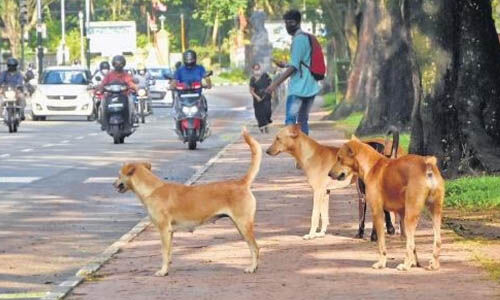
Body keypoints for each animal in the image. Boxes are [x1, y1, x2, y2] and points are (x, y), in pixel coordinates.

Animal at [113, 127, 262, 276]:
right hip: (240, 226)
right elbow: (169, 253)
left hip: (243, 224)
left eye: (119, 175)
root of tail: (241, 183)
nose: (114, 184)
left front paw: (162, 271)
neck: (153, 189)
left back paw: (252, 267)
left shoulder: (163, 230)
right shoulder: (170, 233)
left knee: (255, 247)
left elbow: (164, 253)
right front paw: (167, 269)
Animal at [330, 137, 444, 270]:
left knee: (410, 244)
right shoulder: (402, 214)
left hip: (411, 216)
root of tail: (427, 164)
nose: (329, 174)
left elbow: (382, 244)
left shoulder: (378, 212)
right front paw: (414, 263)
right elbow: (412, 245)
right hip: (435, 213)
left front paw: (382, 263)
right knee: (437, 241)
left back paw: (405, 266)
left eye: (339, 158)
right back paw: (433, 264)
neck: (372, 166)